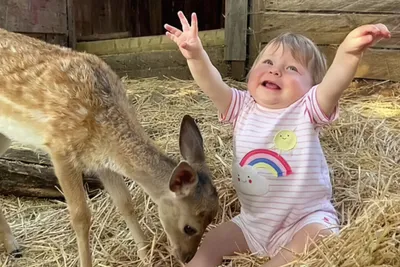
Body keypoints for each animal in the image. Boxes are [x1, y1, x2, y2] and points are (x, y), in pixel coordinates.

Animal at [0, 28, 219, 266]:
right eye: (189, 228)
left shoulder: (102, 162)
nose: (187, 257)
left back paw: (13, 247)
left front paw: (145, 255)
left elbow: (125, 203)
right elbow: (80, 216)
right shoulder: (60, 147)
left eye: (211, 220)